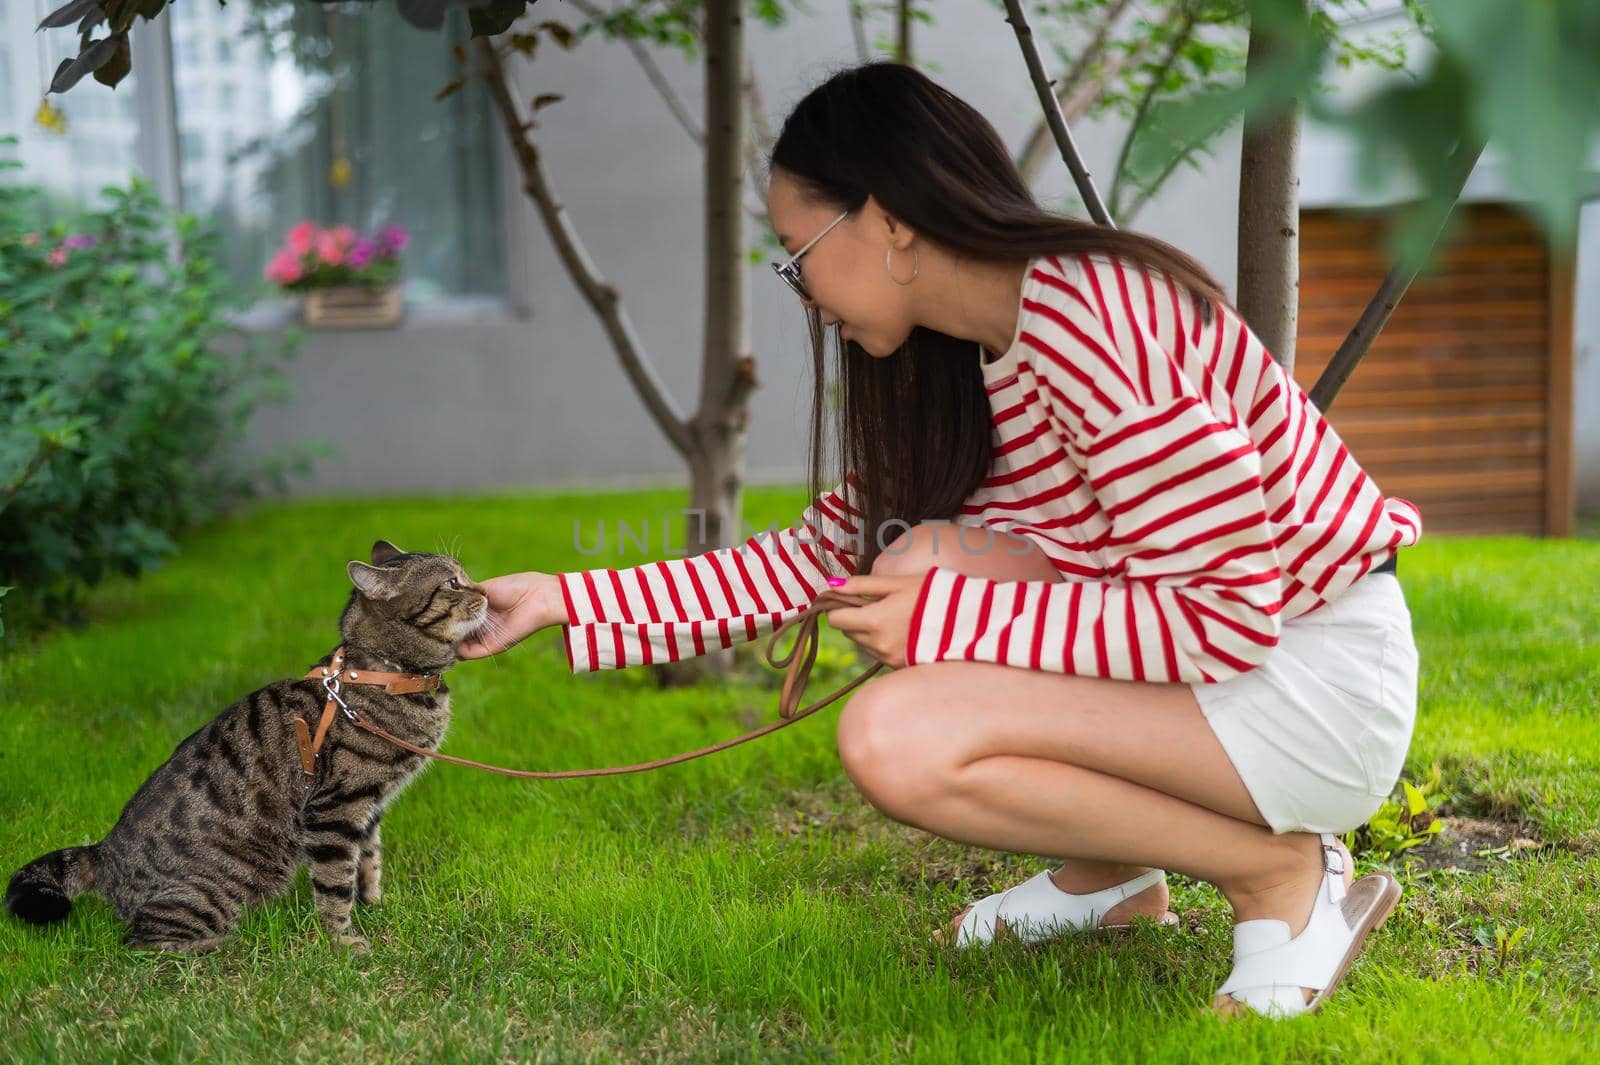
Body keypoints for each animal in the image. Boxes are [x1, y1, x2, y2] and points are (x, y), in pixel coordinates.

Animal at [3, 540, 486, 946]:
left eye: (465, 574)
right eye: (452, 582)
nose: (485, 590)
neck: (385, 673)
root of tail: (103, 851)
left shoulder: (369, 809)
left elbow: (368, 863)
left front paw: (376, 906)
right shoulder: (336, 810)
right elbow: (335, 883)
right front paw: (342, 941)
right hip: (224, 886)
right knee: (143, 940)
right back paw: (226, 947)